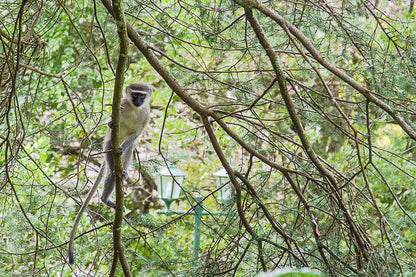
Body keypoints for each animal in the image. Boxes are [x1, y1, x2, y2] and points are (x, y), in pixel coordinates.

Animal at [68, 82, 153, 264]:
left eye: (142, 95)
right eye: (134, 94)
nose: (137, 101)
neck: (134, 109)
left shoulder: (145, 115)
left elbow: (135, 134)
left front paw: (123, 148)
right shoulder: (121, 105)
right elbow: (112, 121)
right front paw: (110, 124)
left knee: (129, 149)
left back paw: (124, 170)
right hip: (107, 146)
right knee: (112, 172)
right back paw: (105, 198)